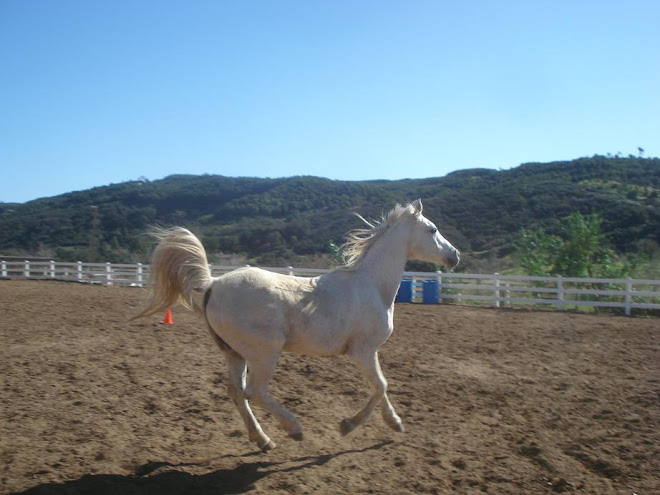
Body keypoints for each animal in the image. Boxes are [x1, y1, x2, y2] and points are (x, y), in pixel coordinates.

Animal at [129, 200, 458, 452]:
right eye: (432, 229)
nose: (454, 256)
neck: (372, 285)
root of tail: (213, 283)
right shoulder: (362, 351)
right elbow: (380, 386)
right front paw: (347, 426)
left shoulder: (369, 352)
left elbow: (380, 387)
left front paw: (395, 423)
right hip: (264, 353)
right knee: (254, 392)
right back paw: (293, 428)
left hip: (234, 353)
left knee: (236, 392)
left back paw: (263, 440)